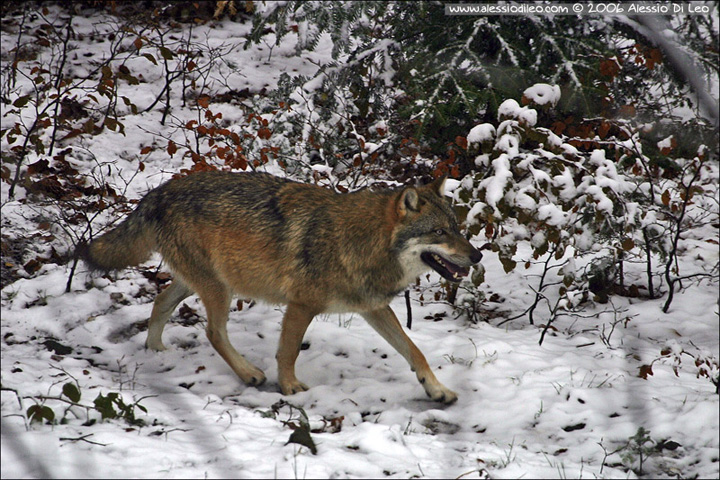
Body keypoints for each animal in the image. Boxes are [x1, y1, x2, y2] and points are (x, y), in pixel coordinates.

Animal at [80, 171, 484, 404]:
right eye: (439, 232)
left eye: (457, 228)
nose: (478, 255)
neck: (358, 241)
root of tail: (159, 191)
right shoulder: (301, 305)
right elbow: (288, 352)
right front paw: (288, 388)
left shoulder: (373, 308)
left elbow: (415, 352)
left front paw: (437, 390)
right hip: (219, 288)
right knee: (213, 331)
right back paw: (248, 374)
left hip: (201, 282)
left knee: (161, 302)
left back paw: (156, 350)